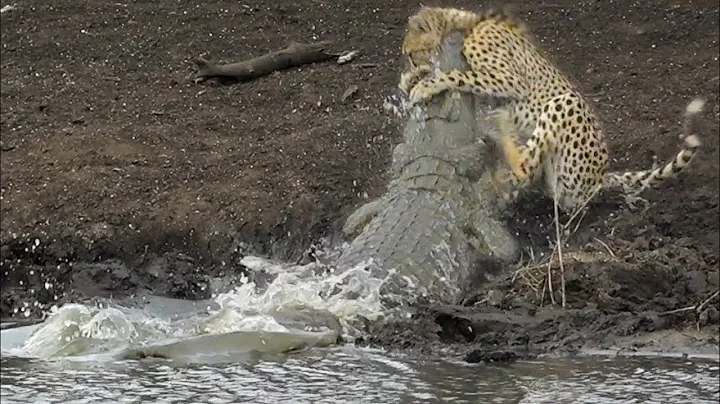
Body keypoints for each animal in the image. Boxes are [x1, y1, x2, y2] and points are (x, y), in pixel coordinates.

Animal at [399, 6, 704, 212]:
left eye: (411, 53)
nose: (410, 62)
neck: (466, 26)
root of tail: (600, 178)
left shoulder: (508, 80)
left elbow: (457, 75)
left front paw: (425, 84)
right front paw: (409, 80)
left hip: (566, 105)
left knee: (524, 166)